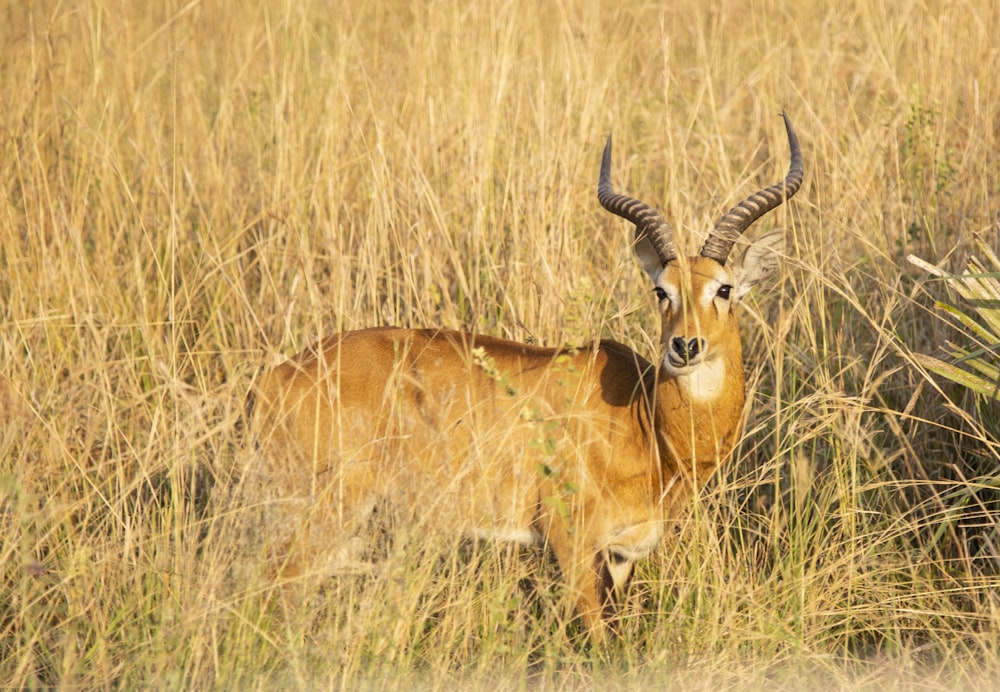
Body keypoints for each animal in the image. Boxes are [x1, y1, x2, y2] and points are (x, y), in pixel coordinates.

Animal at [250, 112, 804, 632]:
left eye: (724, 289)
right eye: (660, 290)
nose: (685, 346)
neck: (644, 421)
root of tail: (277, 377)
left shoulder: (622, 554)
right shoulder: (572, 541)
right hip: (325, 514)